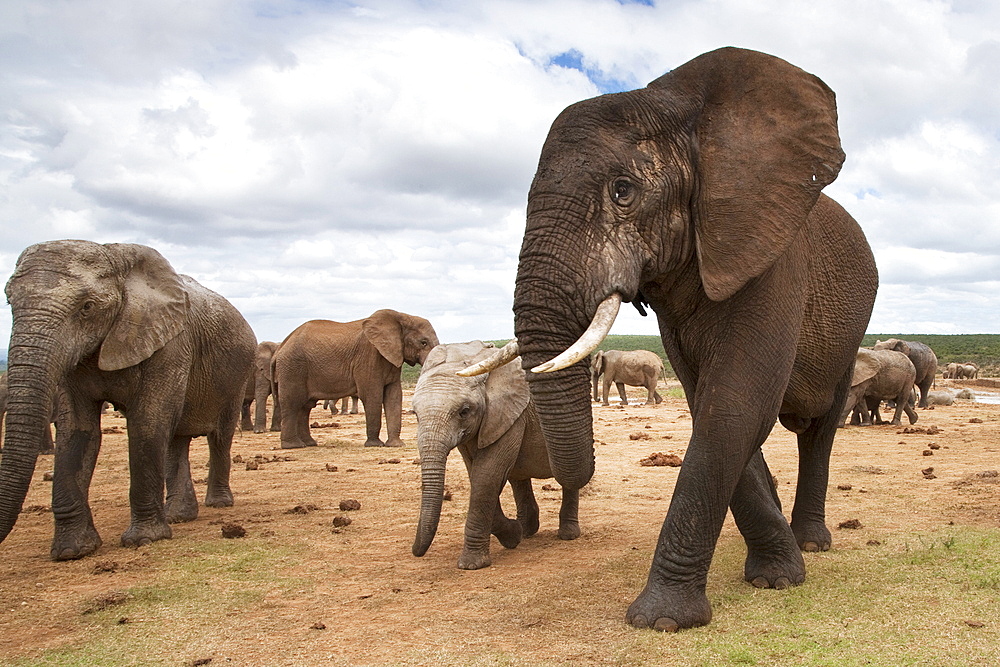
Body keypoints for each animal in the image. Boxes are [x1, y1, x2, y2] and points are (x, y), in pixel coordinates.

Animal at [0, 240, 256, 560]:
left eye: (87, 307)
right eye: (9, 302)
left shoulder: (171, 344)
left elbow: (148, 422)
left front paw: (144, 540)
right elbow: (77, 430)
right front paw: (72, 551)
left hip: (238, 373)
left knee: (219, 436)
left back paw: (218, 504)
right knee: (176, 440)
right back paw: (177, 516)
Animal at [272, 312, 436, 448]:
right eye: (423, 342)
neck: (401, 316)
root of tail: (280, 349)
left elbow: (394, 396)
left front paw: (396, 445)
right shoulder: (369, 356)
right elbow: (372, 395)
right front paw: (375, 445)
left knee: (305, 407)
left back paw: (309, 443)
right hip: (292, 368)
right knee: (292, 404)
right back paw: (293, 446)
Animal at [410, 342, 580, 572]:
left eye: (464, 411)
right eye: (415, 413)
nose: (415, 552)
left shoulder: (507, 413)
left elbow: (486, 477)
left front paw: (472, 565)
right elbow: (478, 475)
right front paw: (515, 534)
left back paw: (568, 534)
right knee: (518, 477)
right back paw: (527, 531)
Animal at [462, 47, 876, 632]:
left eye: (623, 192)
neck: (681, 108)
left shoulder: (770, 254)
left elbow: (735, 403)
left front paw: (666, 619)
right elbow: (710, 405)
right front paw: (774, 570)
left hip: (853, 332)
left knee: (818, 427)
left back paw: (812, 542)